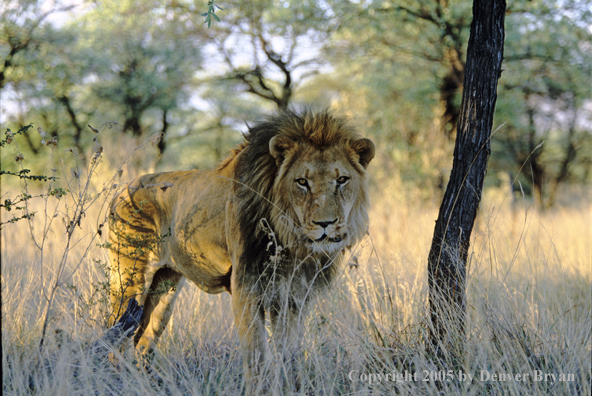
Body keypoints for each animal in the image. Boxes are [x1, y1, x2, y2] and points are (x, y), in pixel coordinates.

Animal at [106, 108, 374, 380]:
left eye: (342, 180)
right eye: (302, 182)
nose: (326, 223)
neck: (291, 242)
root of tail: (122, 190)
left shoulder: (293, 297)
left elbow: (289, 358)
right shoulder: (247, 287)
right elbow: (257, 356)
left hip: (165, 291)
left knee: (144, 341)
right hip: (129, 279)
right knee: (117, 334)